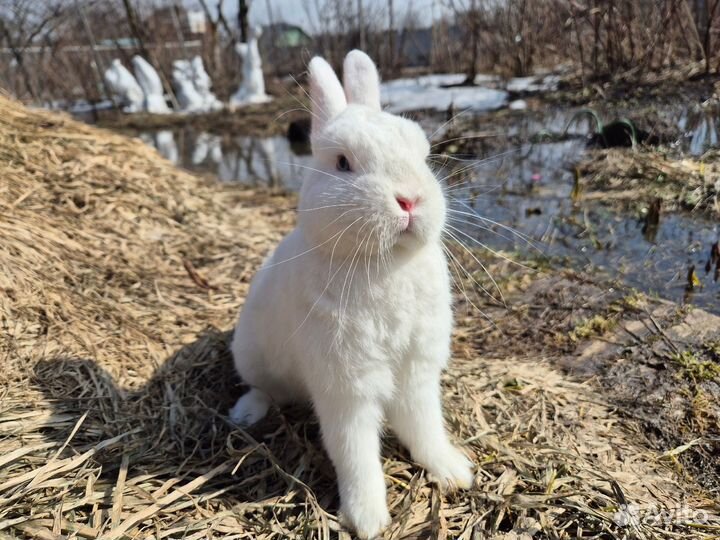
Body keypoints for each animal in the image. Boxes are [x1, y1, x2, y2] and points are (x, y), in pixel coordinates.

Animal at [229, 50, 474, 539]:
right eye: (343, 162)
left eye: (423, 156)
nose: (410, 200)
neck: (384, 265)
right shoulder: (345, 387)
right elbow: (355, 452)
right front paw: (367, 520)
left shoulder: (416, 372)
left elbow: (425, 425)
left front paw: (453, 471)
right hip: (251, 356)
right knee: (262, 389)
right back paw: (246, 413)